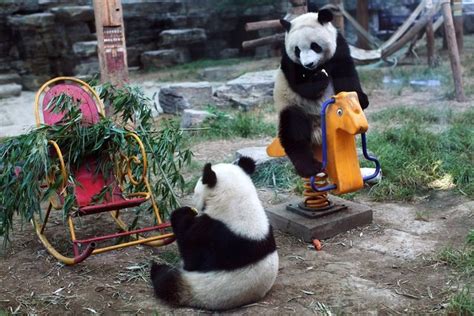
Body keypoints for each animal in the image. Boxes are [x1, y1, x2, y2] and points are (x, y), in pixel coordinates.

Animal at [150, 157, 280, 310]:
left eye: (195, 190)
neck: (239, 203)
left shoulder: (214, 234)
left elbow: (191, 256)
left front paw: (183, 213)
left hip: (197, 289)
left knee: (167, 281)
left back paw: (156, 269)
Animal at [274, 8, 370, 178]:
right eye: (297, 50)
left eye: (315, 46)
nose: (308, 64)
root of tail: (317, 134)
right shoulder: (289, 61)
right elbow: (300, 85)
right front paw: (320, 78)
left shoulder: (339, 47)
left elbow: (346, 74)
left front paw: (361, 99)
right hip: (293, 105)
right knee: (294, 130)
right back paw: (310, 167)